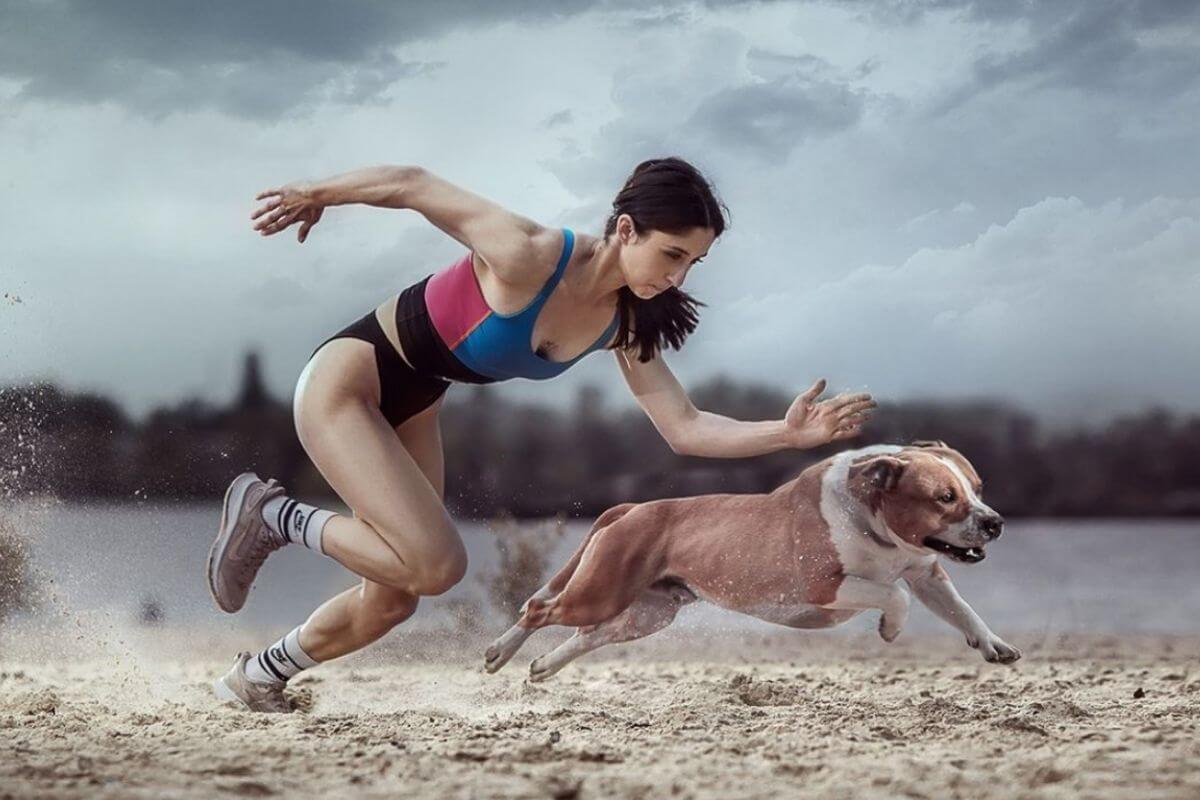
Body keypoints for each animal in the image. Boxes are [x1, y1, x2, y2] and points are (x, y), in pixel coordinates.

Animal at [482, 438, 1017, 681]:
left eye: (977, 487)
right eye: (944, 497)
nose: (995, 521)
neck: (873, 515)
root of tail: (633, 507)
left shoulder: (928, 572)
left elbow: (960, 608)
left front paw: (993, 644)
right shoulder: (825, 584)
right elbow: (893, 594)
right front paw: (890, 627)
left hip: (646, 613)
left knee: (587, 635)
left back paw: (543, 666)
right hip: (601, 590)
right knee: (540, 609)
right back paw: (499, 653)